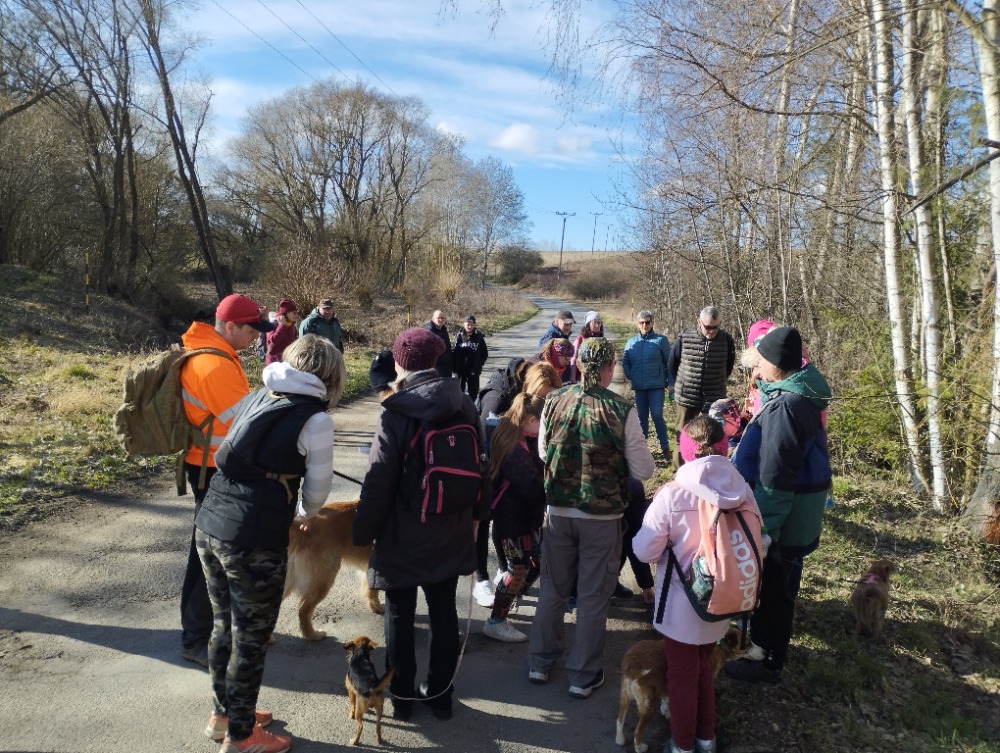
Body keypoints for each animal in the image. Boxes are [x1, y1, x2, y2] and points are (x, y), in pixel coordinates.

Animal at [286, 500, 386, 640]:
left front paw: (375, 607)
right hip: (324, 580)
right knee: (303, 611)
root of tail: (299, 525)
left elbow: (371, 591)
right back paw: (314, 635)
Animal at [612, 624, 748, 752]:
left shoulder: (666, 683)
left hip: (625, 695)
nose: (759, 649)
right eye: (748, 644)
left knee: (619, 719)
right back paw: (639, 748)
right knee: (637, 731)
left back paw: (620, 739)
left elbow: (666, 698)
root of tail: (631, 664)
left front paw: (666, 710)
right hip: (647, 705)